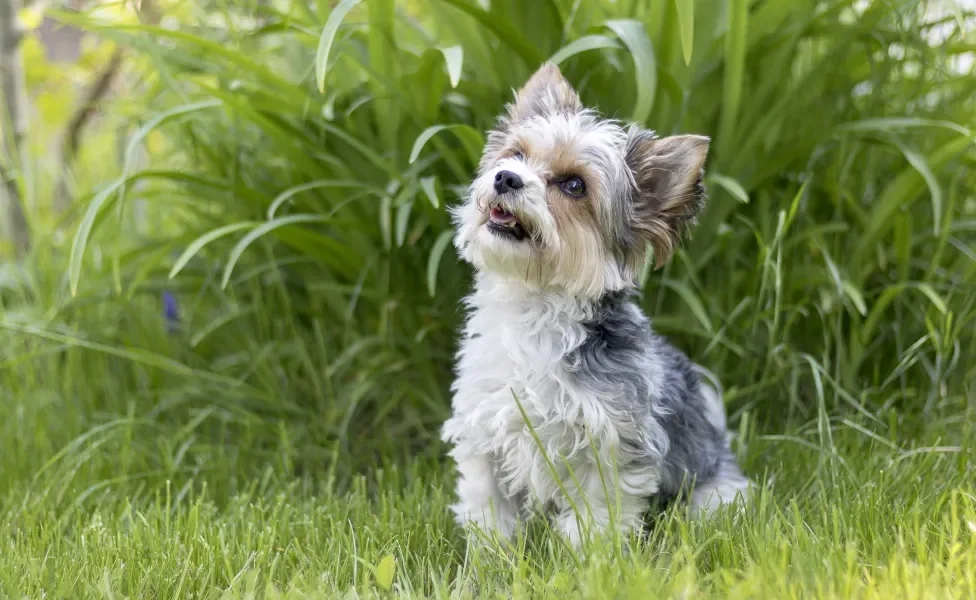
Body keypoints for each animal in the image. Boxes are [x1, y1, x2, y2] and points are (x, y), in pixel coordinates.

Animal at [438, 62, 752, 548]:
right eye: (516, 154)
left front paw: (590, 560)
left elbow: (596, 519)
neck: (535, 308)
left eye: (573, 185)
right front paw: (490, 559)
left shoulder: (610, 448)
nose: (506, 177)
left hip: (715, 494)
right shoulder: (485, 435)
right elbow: (491, 513)